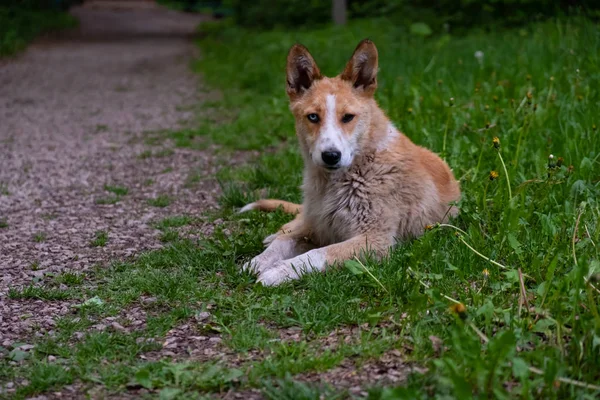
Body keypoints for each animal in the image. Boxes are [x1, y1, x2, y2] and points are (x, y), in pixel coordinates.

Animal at [239, 39, 460, 286]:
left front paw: (277, 271)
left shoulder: (374, 240)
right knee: (292, 226)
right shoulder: (319, 228)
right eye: (313, 117)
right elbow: (283, 244)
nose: (331, 155)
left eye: (348, 117)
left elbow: (316, 254)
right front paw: (258, 262)